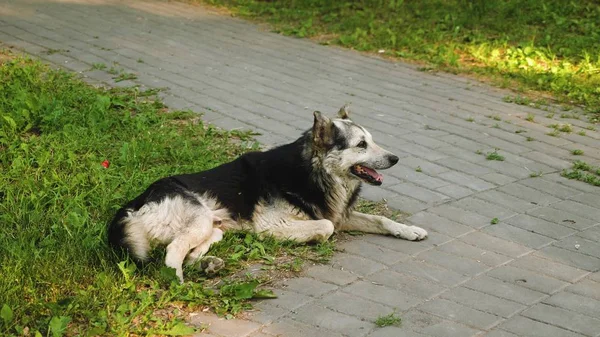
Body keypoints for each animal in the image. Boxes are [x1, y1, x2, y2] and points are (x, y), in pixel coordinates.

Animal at [108, 104, 426, 280]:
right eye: (361, 145)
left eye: (371, 140)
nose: (396, 159)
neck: (313, 171)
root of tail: (134, 203)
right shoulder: (275, 224)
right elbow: (325, 227)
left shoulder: (340, 215)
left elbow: (381, 220)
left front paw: (409, 230)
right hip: (199, 219)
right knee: (173, 252)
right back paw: (177, 283)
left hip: (214, 227)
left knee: (188, 254)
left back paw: (209, 265)